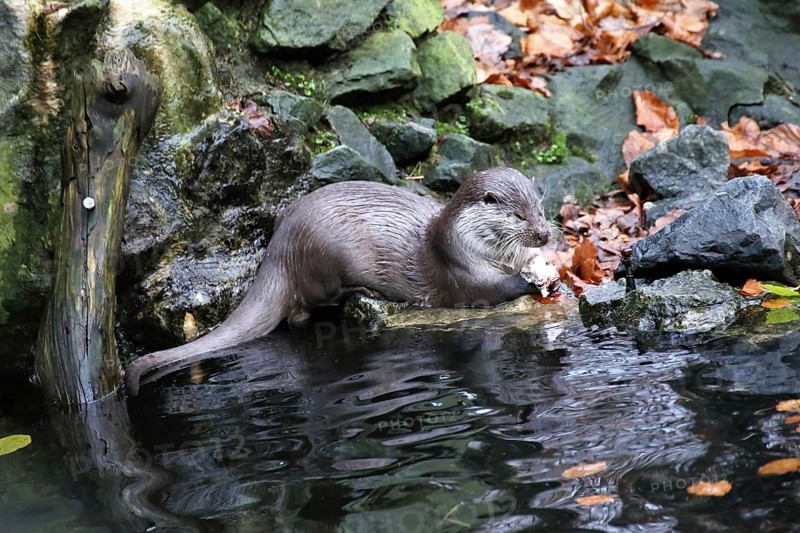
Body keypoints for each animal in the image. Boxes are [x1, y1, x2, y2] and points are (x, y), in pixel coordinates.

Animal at [125, 167, 552, 394]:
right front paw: (532, 284)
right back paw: (364, 290)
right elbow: (490, 291)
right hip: (328, 255)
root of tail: (280, 250)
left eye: (541, 208)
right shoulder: (461, 271)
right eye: (517, 216)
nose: (545, 234)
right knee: (308, 308)